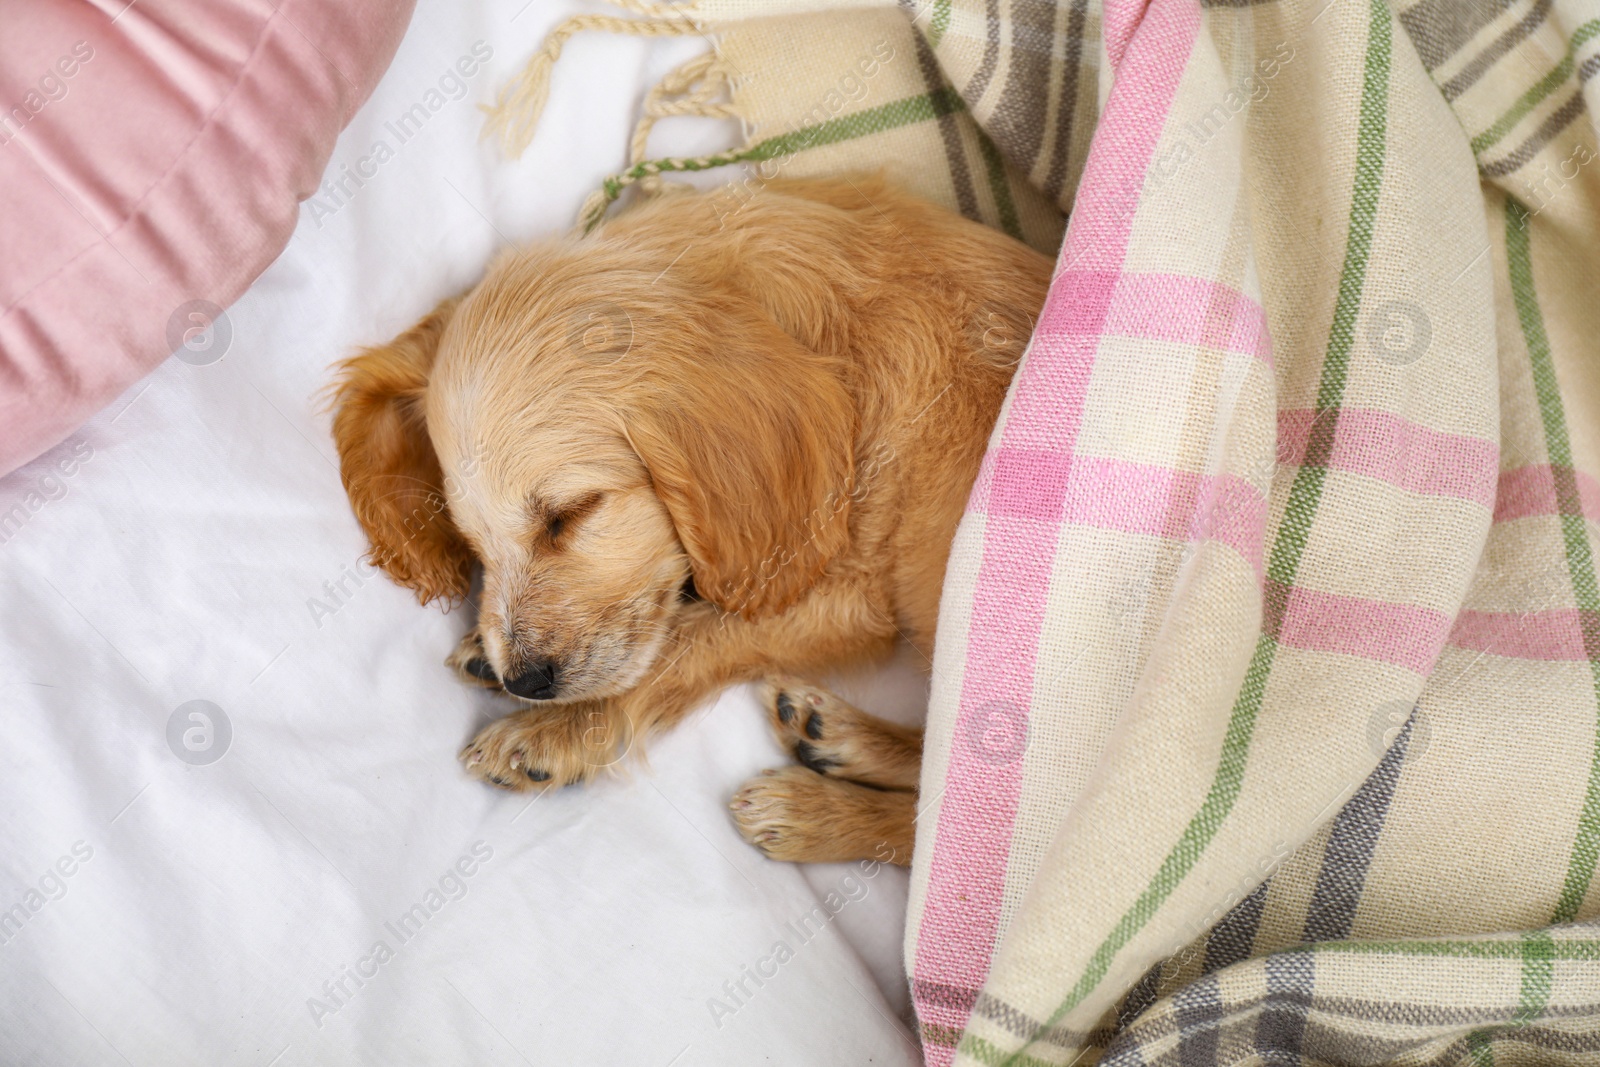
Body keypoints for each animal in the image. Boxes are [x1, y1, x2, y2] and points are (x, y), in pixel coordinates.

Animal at [328, 171, 1049, 863]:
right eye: (471, 542)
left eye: (570, 513)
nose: (525, 680)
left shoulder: (845, 594)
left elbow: (689, 642)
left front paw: (556, 731)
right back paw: (837, 736)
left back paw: (816, 811)